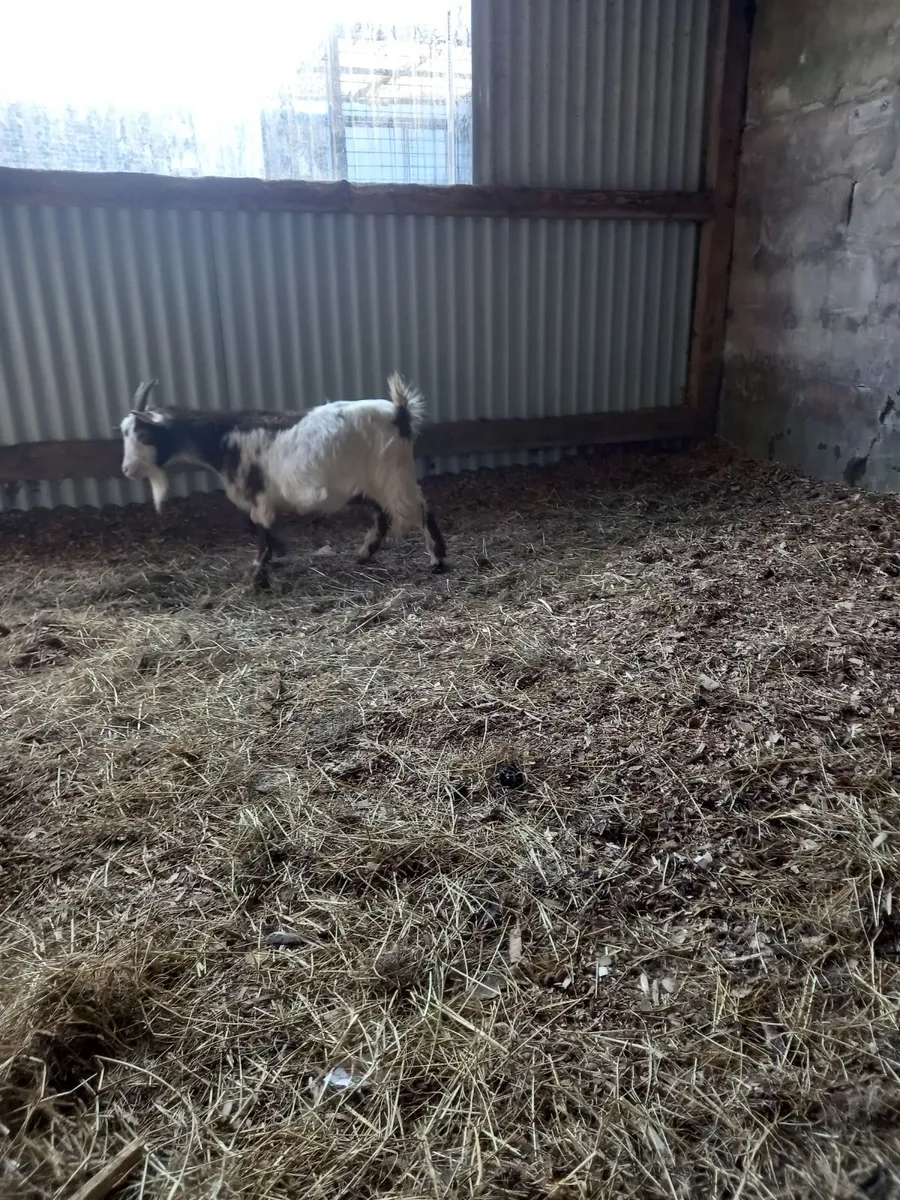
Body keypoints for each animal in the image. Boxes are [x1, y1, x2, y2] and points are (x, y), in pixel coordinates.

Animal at [120, 375, 447, 589]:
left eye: (144, 434)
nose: (127, 470)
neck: (224, 438)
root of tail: (400, 413)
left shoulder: (259, 496)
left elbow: (261, 532)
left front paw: (259, 579)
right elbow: (257, 529)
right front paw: (279, 553)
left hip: (393, 476)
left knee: (420, 510)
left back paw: (437, 561)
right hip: (365, 483)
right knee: (382, 515)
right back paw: (364, 554)